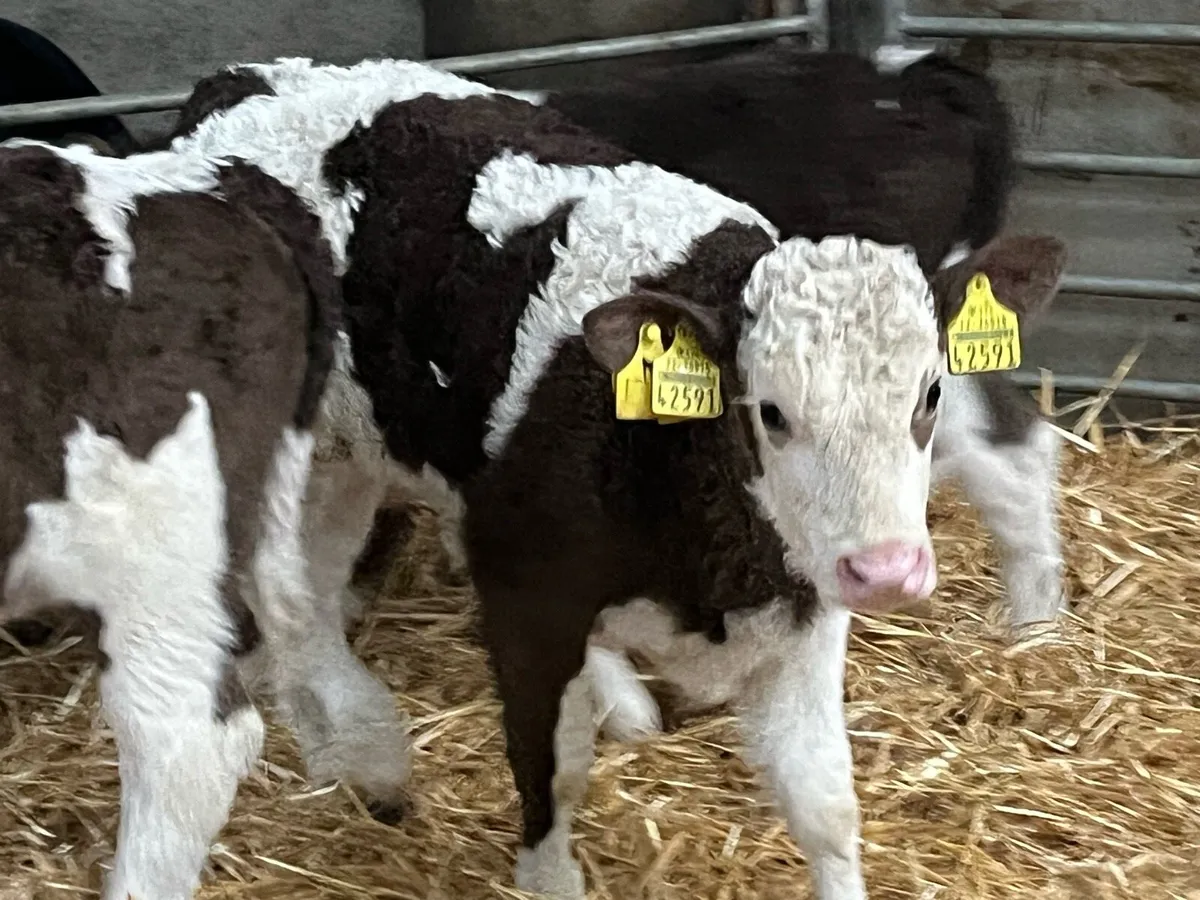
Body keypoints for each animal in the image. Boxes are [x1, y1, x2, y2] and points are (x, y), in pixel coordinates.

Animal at [158, 57, 1067, 898]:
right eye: (771, 412)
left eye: (927, 392)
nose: (886, 570)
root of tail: (242, 80)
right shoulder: (527, 597)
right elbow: (553, 771)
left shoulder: (804, 610)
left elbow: (824, 801)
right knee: (291, 599)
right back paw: (369, 749)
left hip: (346, 461)